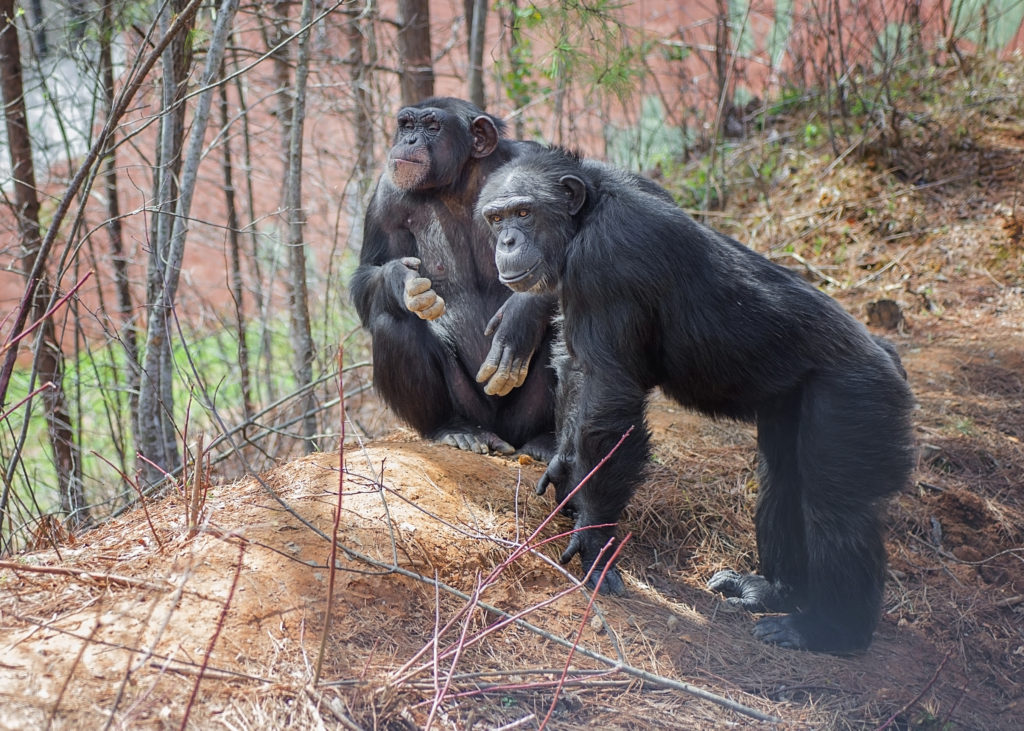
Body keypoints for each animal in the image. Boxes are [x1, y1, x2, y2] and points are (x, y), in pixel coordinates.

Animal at [352, 98, 561, 458]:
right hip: (470, 405)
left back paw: (545, 439)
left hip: (521, 416)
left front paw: (521, 316)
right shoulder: (387, 196)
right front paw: (401, 281)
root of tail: (500, 435)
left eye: (432, 127)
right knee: (392, 321)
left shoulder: (539, 161)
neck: (460, 184)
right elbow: (369, 271)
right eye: (407, 125)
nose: (409, 140)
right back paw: (453, 429)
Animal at [475, 146, 917, 651]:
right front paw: (566, 469)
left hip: (855, 398)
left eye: (524, 213)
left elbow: (609, 398)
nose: (506, 240)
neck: (584, 218)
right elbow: (576, 367)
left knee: (835, 505)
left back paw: (829, 630)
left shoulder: (608, 262)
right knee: (784, 478)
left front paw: (595, 540)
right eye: (496, 218)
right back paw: (772, 590)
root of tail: (888, 355)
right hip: (796, 402)